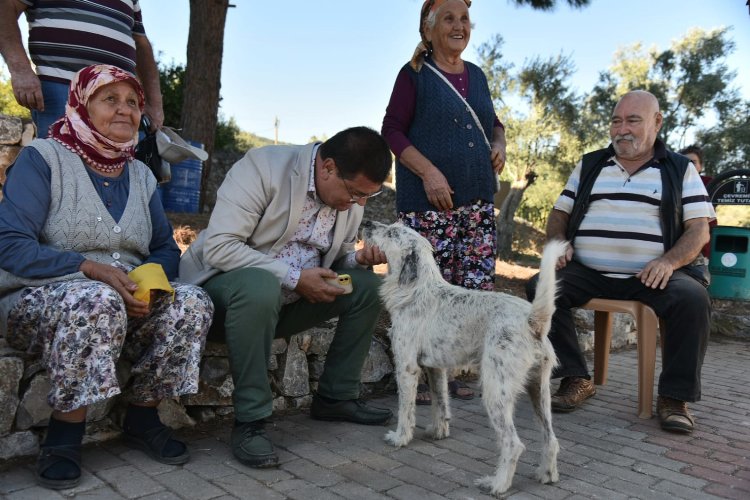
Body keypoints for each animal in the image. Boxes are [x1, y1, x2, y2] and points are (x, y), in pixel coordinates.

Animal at [362, 222, 564, 496]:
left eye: (392, 233)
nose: (367, 224)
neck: (417, 289)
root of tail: (532, 320)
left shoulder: (406, 368)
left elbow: (406, 409)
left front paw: (400, 438)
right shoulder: (435, 369)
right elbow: (440, 403)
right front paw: (438, 431)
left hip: (494, 393)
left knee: (513, 444)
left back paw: (497, 484)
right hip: (539, 392)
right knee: (550, 438)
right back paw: (547, 475)